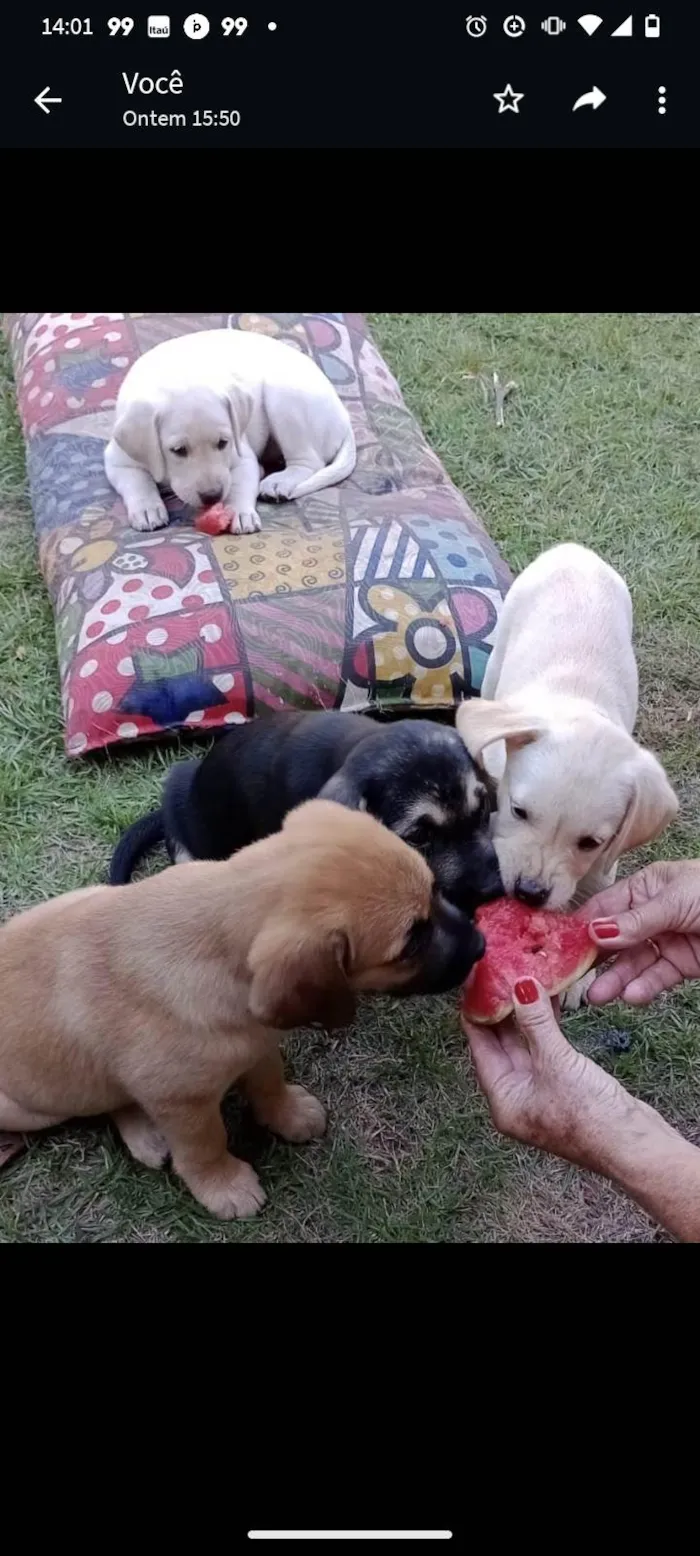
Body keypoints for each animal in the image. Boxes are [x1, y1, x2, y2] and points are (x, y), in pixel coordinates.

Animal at [0, 802, 482, 1213]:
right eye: (412, 942)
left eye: (435, 889)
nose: (481, 946)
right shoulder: (183, 1103)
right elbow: (205, 1145)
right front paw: (224, 1186)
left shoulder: (257, 1040)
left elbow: (269, 1082)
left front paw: (288, 1115)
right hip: (28, 1107)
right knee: (102, 1101)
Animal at [104, 328, 356, 535]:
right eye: (178, 450)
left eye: (223, 443)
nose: (212, 496)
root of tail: (344, 417)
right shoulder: (118, 460)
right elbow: (137, 481)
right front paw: (148, 509)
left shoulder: (242, 455)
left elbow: (239, 485)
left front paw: (240, 512)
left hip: (284, 397)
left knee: (309, 462)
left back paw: (278, 483)